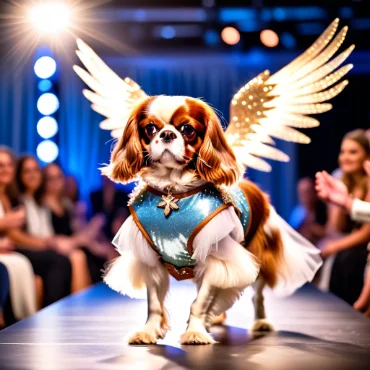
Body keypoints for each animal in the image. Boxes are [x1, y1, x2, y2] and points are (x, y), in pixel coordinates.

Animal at [102, 94, 320, 344]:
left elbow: (200, 302)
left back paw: (260, 322)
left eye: (187, 129)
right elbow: (155, 304)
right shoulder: (152, 259)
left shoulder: (217, 257)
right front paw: (148, 332)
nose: (167, 134)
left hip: (256, 255)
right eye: (150, 128)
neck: (172, 192)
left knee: (257, 296)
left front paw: (195, 333)